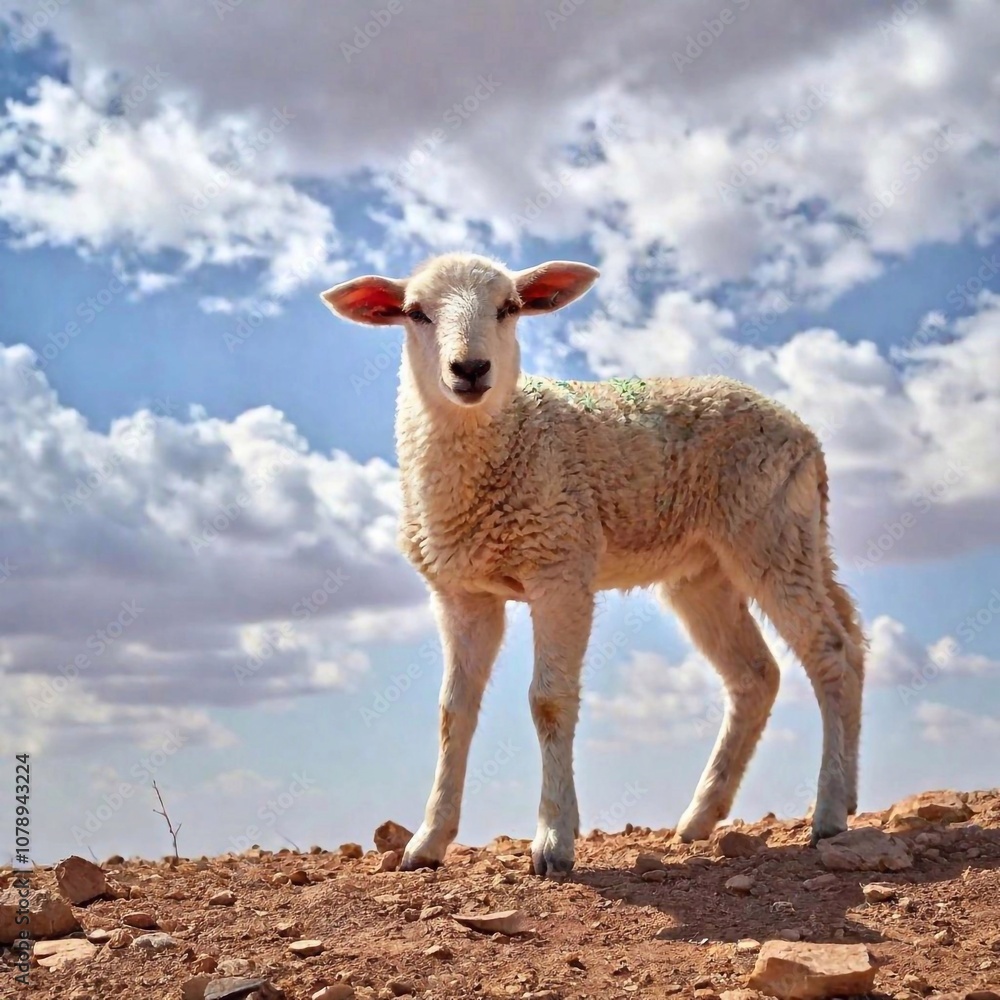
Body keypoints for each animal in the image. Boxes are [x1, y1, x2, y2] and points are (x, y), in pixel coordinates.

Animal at [320, 252, 866, 877]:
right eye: (415, 312)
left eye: (509, 308)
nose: (471, 369)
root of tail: (804, 432)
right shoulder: (462, 592)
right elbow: (453, 711)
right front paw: (427, 842)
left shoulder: (561, 567)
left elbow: (549, 701)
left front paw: (554, 840)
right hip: (708, 568)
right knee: (763, 674)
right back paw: (705, 817)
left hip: (769, 529)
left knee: (831, 652)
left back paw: (829, 812)